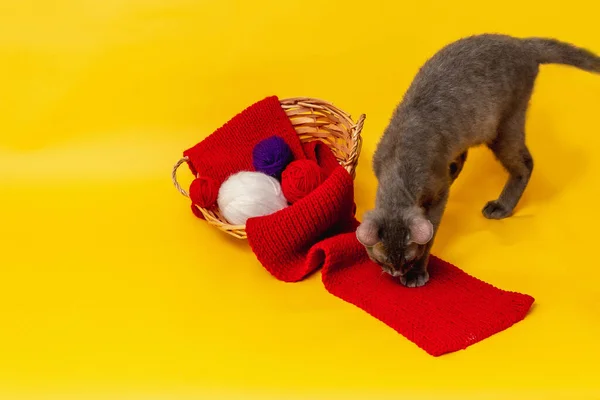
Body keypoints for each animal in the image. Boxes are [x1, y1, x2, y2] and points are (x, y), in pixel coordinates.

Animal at [358, 32, 596, 286]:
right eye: (381, 260)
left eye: (408, 259)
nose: (396, 272)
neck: (398, 163)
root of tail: (520, 42)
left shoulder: (438, 192)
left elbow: (430, 234)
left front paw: (417, 273)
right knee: (464, 157)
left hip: (504, 127)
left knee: (525, 163)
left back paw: (502, 206)